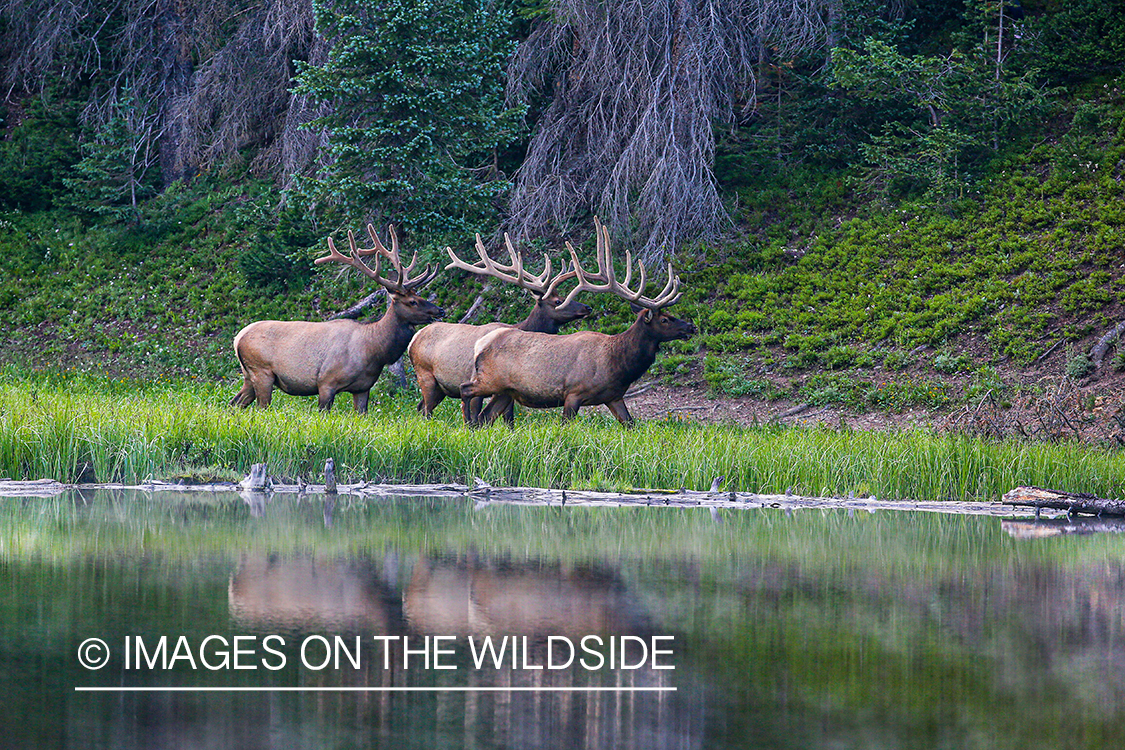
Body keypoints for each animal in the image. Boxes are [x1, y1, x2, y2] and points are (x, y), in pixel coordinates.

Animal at [231, 226, 443, 413]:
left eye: (420, 295)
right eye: (413, 301)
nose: (440, 310)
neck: (374, 350)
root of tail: (237, 338)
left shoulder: (363, 388)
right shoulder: (326, 381)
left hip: (248, 375)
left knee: (235, 403)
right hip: (261, 371)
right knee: (259, 407)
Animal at [409, 231, 594, 422]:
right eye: (558, 301)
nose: (587, 307)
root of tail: (414, 339)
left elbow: (508, 417)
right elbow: (477, 413)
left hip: (440, 387)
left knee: (420, 407)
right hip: (425, 375)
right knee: (426, 409)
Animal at [459, 218, 693, 427]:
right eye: (665, 319)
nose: (691, 326)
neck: (618, 365)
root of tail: (480, 345)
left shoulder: (614, 396)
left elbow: (631, 424)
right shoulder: (573, 392)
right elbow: (566, 425)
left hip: (505, 391)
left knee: (485, 417)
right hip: (490, 379)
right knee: (466, 391)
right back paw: (467, 423)